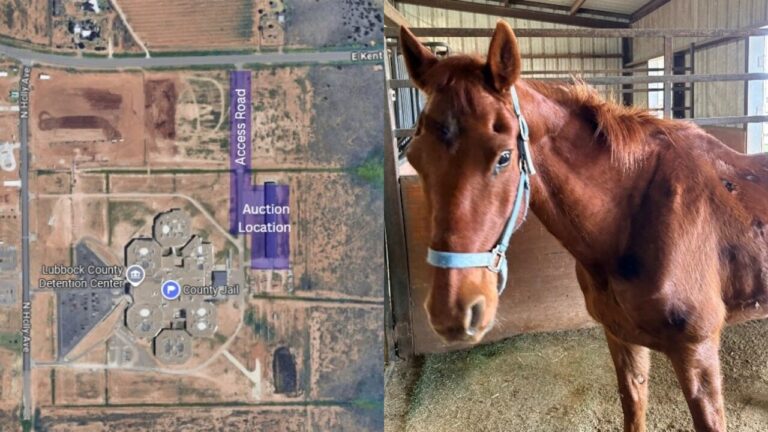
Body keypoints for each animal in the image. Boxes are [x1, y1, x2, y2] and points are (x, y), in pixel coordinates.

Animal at [399, 20, 768, 432]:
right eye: (414, 156)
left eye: (504, 157)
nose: (452, 313)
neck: (635, 217)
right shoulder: (621, 338)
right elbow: (632, 409)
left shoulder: (696, 352)